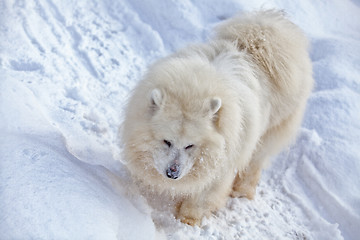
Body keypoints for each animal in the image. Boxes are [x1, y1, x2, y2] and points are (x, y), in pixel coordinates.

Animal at [120, 10, 312, 226]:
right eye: (166, 141)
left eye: (190, 145)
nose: (172, 173)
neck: (194, 89)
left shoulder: (222, 163)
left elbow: (203, 196)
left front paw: (188, 220)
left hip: (269, 133)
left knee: (255, 163)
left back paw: (242, 191)